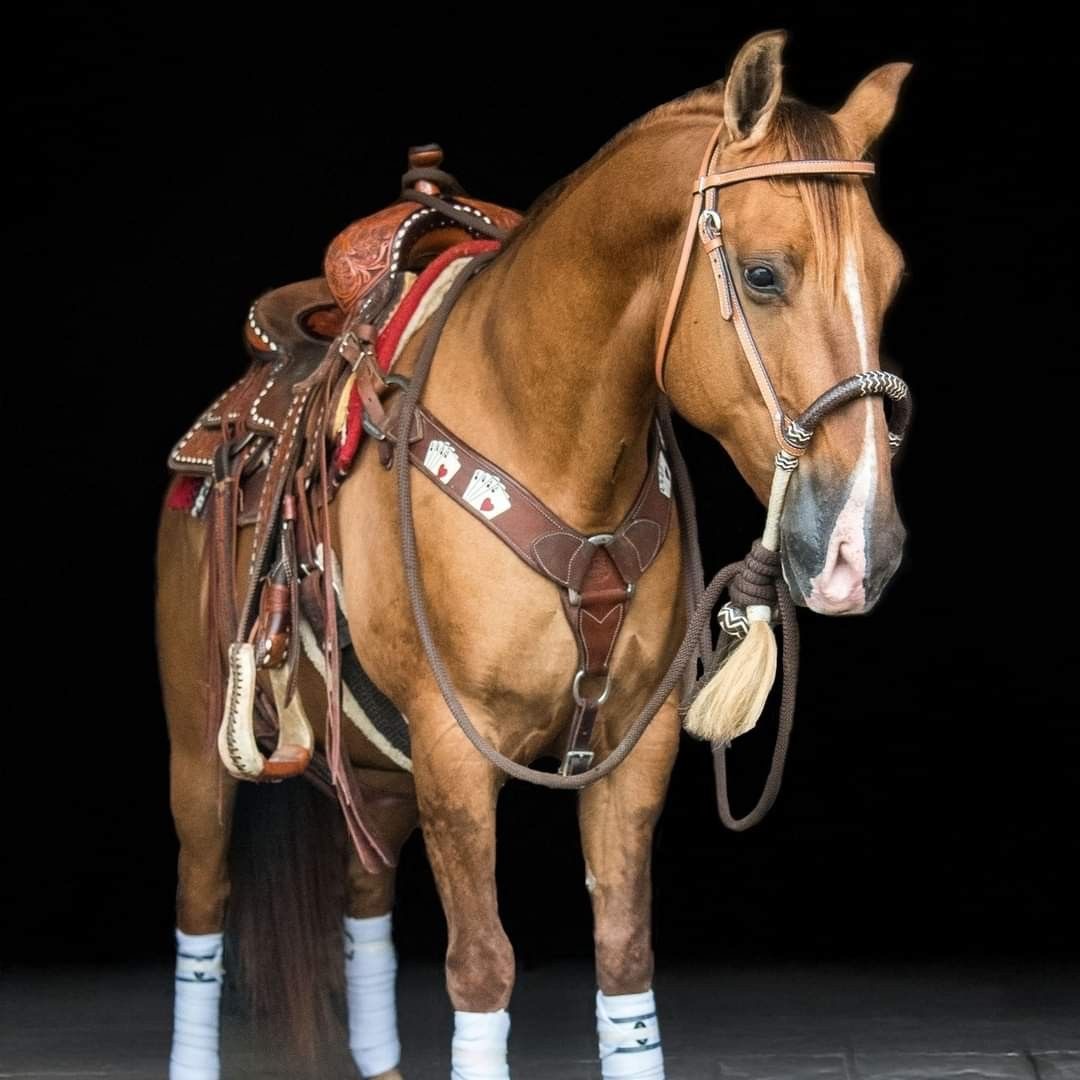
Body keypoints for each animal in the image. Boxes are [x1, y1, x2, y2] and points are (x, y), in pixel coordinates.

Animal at [155, 29, 912, 1080]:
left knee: (363, 897)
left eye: (891, 277)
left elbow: (624, 960)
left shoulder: (637, 747)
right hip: (201, 751)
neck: (544, 437)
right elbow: (482, 968)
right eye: (764, 275)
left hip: (376, 775)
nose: (860, 547)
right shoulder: (453, 749)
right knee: (202, 905)